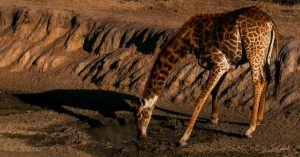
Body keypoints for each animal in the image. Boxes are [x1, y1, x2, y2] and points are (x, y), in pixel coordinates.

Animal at [134, 6, 278, 146]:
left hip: (254, 50)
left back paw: (250, 130)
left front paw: (184, 138)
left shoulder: (219, 63)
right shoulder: (225, 64)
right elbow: (214, 91)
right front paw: (214, 118)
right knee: (267, 78)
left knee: (258, 81)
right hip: (265, 54)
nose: (140, 136)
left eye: (138, 115)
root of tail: (270, 22)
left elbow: (200, 98)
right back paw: (259, 119)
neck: (189, 40)